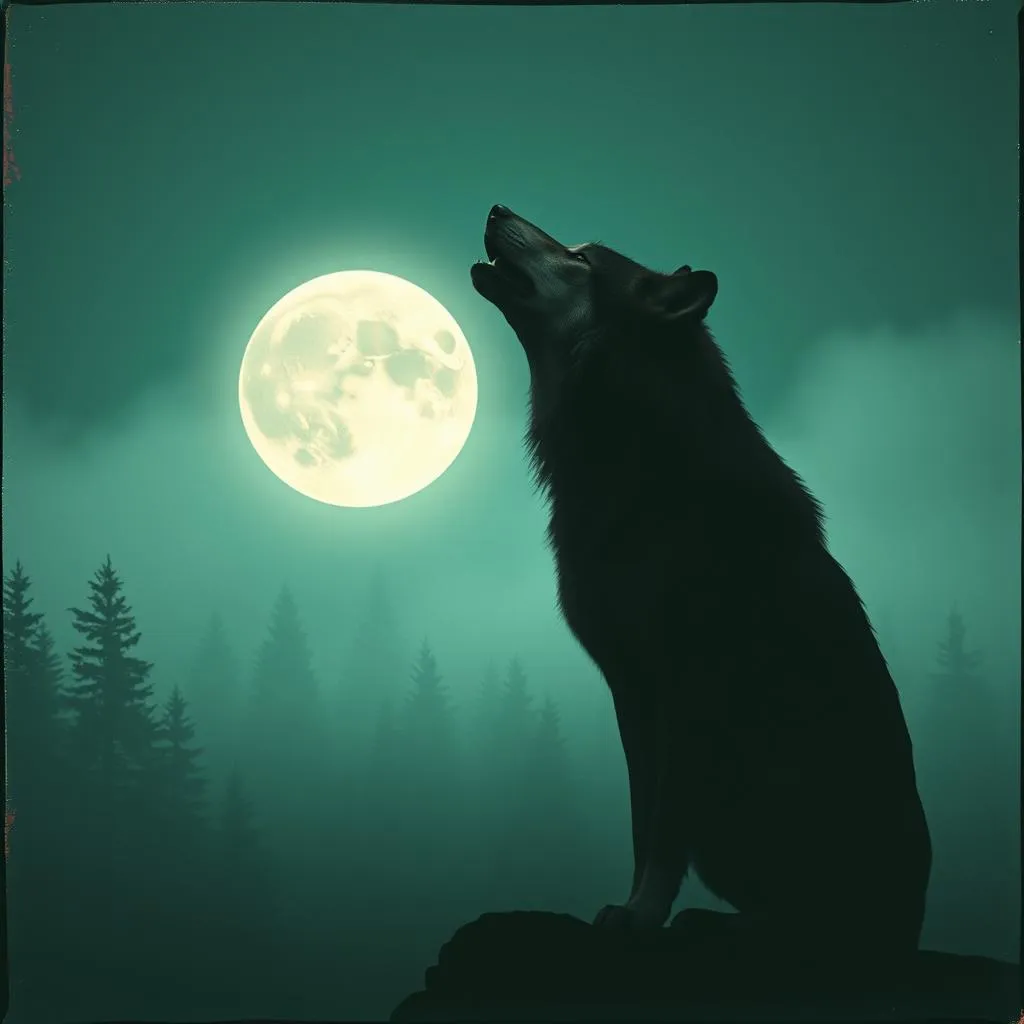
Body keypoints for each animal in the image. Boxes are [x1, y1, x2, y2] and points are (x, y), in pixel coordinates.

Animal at [470, 205, 931, 958]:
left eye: (582, 257)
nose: (497, 210)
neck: (634, 461)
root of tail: (911, 928)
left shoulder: (687, 682)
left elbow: (664, 827)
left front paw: (642, 914)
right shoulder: (631, 689)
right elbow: (641, 822)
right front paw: (629, 909)